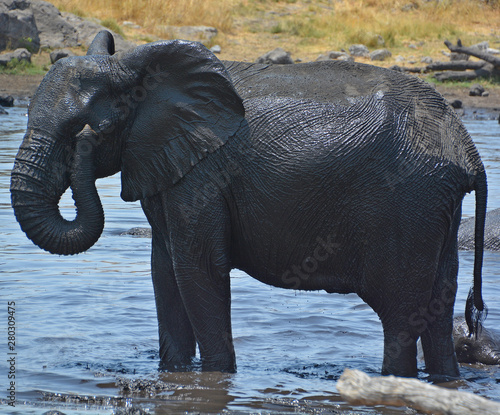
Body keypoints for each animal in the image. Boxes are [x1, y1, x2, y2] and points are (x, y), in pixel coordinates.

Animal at [10, 30, 488, 378]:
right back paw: (446, 381)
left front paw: (216, 380)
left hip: (410, 204)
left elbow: (198, 268)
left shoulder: (202, 174)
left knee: (401, 317)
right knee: (438, 313)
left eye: (87, 127)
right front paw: (174, 377)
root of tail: (467, 149)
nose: (85, 148)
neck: (138, 69)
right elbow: (164, 270)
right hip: (435, 207)